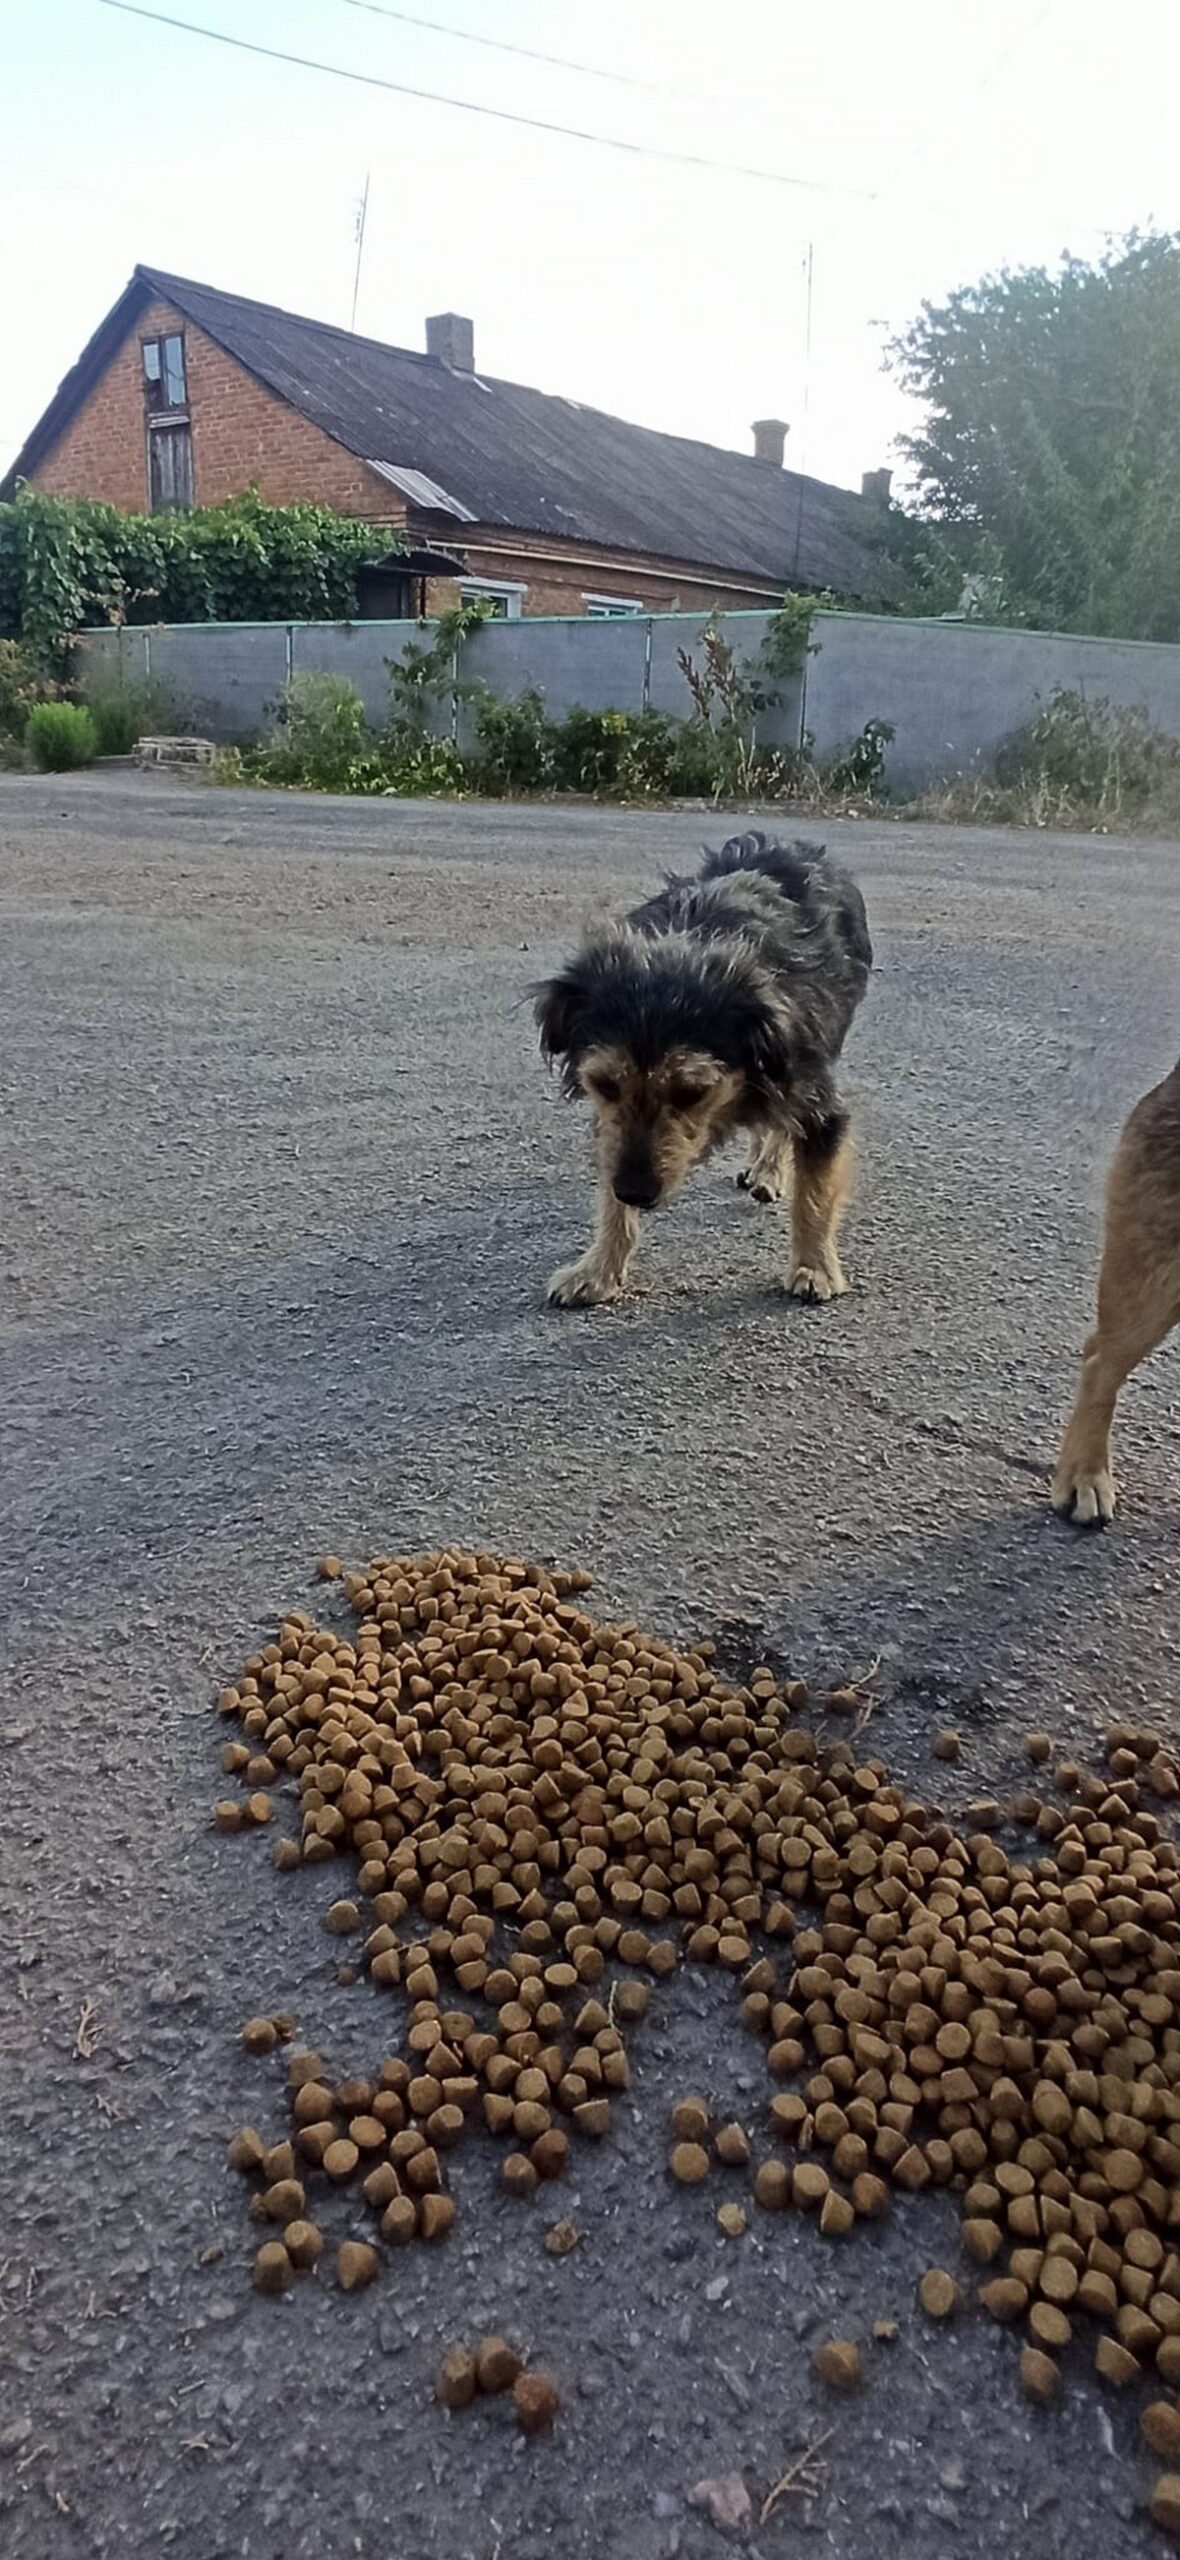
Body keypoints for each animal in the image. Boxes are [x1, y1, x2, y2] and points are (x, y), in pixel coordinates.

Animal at [537, 839, 870, 1310]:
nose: (636, 1192)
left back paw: (769, 1171)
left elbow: (816, 1194)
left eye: (691, 1092)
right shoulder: (612, 1128)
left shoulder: (816, 1095)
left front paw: (815, 1267)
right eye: (604, 1084)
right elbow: (609, 1197)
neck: (690, 948)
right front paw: (598, 1270)